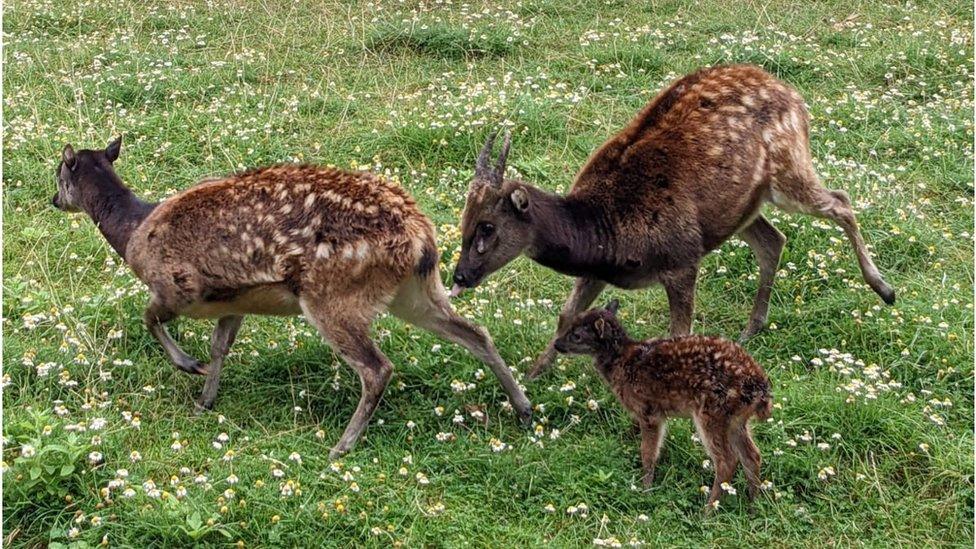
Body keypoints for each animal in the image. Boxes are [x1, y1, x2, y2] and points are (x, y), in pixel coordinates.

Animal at [48, 136, 528, 454]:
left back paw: (342, 446)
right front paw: (206, 400)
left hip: (332, 296)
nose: (54, 199)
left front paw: (189, 367)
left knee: (377, 367)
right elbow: (220, 345)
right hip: (415, 292)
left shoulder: (175, 285)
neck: (133, 234)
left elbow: (149, 319)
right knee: (476, 333)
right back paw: (523, 407)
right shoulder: (234, 300)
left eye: (59, 171)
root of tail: (421, 236)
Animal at [450, 64, 892, 378]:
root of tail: (796, 97)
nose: (460, 276)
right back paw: (752, 328)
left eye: (487, 226)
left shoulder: (682, 257)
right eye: (463, 219)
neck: (606, 234)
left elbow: (679, 333)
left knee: (841, 201)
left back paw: (884, 289)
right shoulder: (597, 270)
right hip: (741, 207)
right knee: (774, 239)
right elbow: (565, 315)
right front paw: (531, 382)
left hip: (788, 168)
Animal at [552, 300, 772, 510]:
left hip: (712, 412)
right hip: (736, 419)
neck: (623, 361)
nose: (556, 344)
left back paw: (708, 511)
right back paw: (753, 504)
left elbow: (648, 453)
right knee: (752, 455)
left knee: (727, 461)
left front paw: (646, 489)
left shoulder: (649, 411)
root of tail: (761, 389)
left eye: (577, 335)